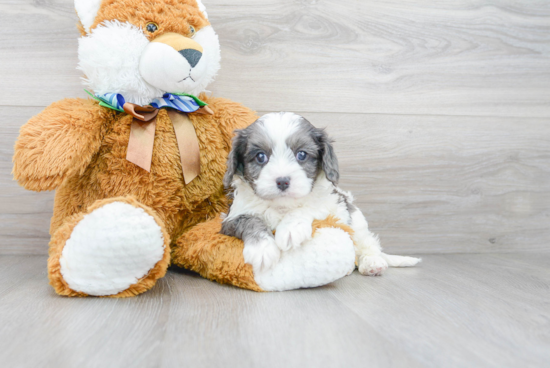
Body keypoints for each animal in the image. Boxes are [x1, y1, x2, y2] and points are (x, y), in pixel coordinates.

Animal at [222, 112, 420, 276]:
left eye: (302, 155)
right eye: (260, 156)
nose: (283, 181)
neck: (283, 206)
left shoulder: (334, 205)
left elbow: (310, 206)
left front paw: (291, 228)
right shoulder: (230, 218)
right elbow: (250, 219)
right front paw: (262, 248)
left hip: (357, 222)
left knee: (368, 244)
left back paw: (372, 263)